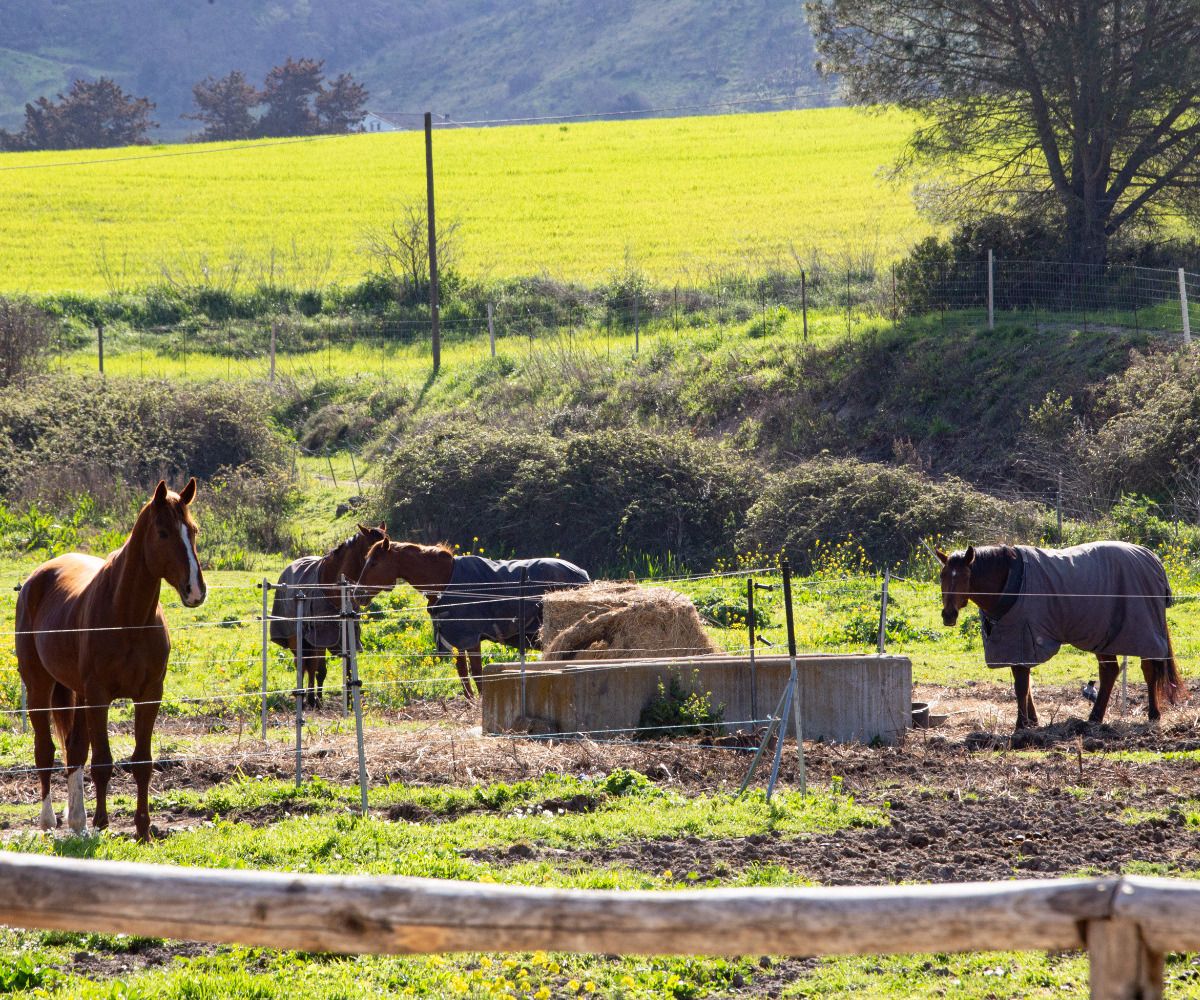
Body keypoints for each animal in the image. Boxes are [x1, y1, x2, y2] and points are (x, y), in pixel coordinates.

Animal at [14, 480, 204, 840]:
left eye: (194, 531)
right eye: (163, 533)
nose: (195, 590)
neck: (127, 618)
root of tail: (36, 578)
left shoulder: (149, 695)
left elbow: (142, 761)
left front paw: (143, 830)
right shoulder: (99, 696)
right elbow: (102, 761)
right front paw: (103, 824)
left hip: (77, 694)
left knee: (74, 750)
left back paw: (77, 821)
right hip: (40, 688)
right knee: (45, 750)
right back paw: (49, 821)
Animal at [270, 523, 386, 710]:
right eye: (372, 548)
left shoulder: (346, 635)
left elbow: (347, 669)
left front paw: (350, 703)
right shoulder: (319, 636)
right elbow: (317, 668)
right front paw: (313, 700)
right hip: (297, 638)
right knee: (304, 665)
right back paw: (305, 697)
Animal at [936, 542, 1180, 729]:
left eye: (965, 576)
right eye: (942, 576)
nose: (948, 615)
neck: (1010, 581)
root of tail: (1153, 561)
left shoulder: (1023, 639)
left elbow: (1021, 684)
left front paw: (1021, 725)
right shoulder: (1016, 644)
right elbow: (1025, 684)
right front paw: (1032, 721)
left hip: (1143, 633)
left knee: (1148, 670)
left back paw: (1153, 714)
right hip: (1104, 635)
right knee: (1110, 671)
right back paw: (1095, 718)